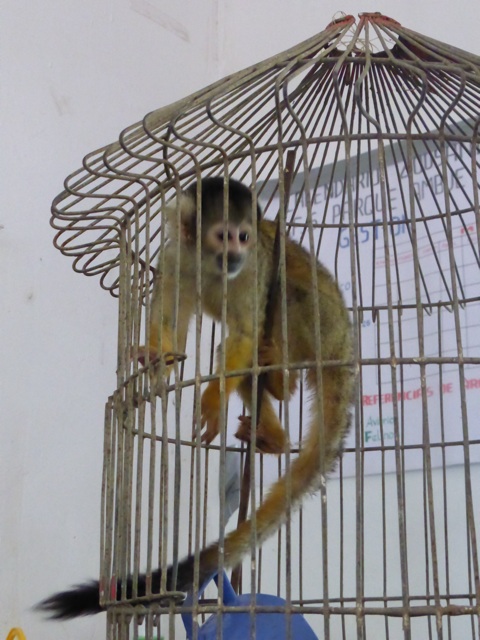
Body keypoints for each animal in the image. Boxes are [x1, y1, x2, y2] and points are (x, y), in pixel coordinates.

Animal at [37, 176, 354, 619]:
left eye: (243, 237)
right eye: (223, 235)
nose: (236, 253)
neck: (211, 265)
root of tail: (346, 347)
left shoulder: (253, 269)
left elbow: (245, 332)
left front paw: (213, 400)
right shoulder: (174, 257)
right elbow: (172, 326)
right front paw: (156, 357)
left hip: (320, 324)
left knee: (278, 303)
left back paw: (280, 379)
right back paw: (273, 428)